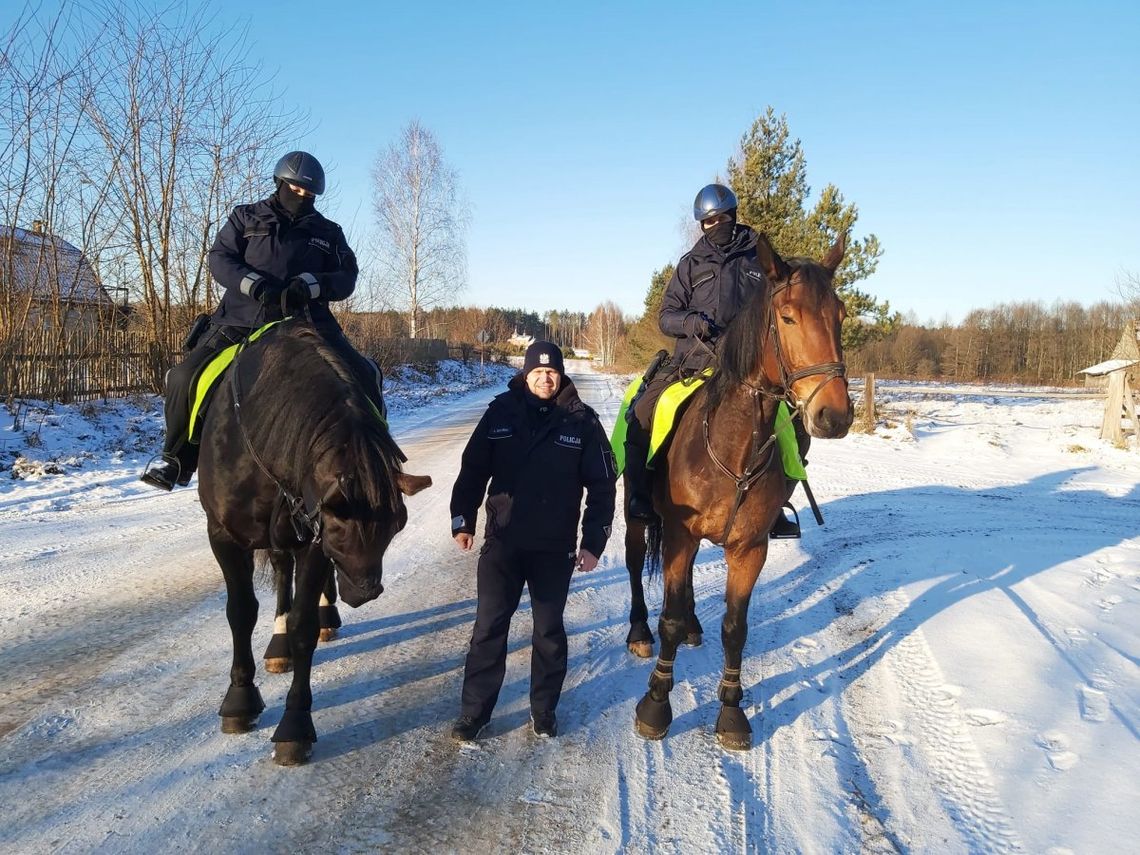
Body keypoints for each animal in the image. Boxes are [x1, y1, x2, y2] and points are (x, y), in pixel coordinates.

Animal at [198, 321, 428, 761]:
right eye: (339, 528)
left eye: (397, 527)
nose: (365, 593)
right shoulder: (223, 536)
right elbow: (240, 611)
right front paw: (240, 699)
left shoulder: (312, 540)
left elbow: (303, 626)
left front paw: (295, 725)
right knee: (278, 571)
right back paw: (278, 644)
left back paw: (320, 620)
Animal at [629, 232, 852, 747]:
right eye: (787, 316)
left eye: (840, 314)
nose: (834, 415)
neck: (733, 448)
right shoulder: (679, 534)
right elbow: (668, 618)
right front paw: (656, 702)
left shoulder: (748, 548)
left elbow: (735, 627)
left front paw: (731, 710)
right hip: (638, 519)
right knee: (633, 567)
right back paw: (639, 633)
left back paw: (694, 625)